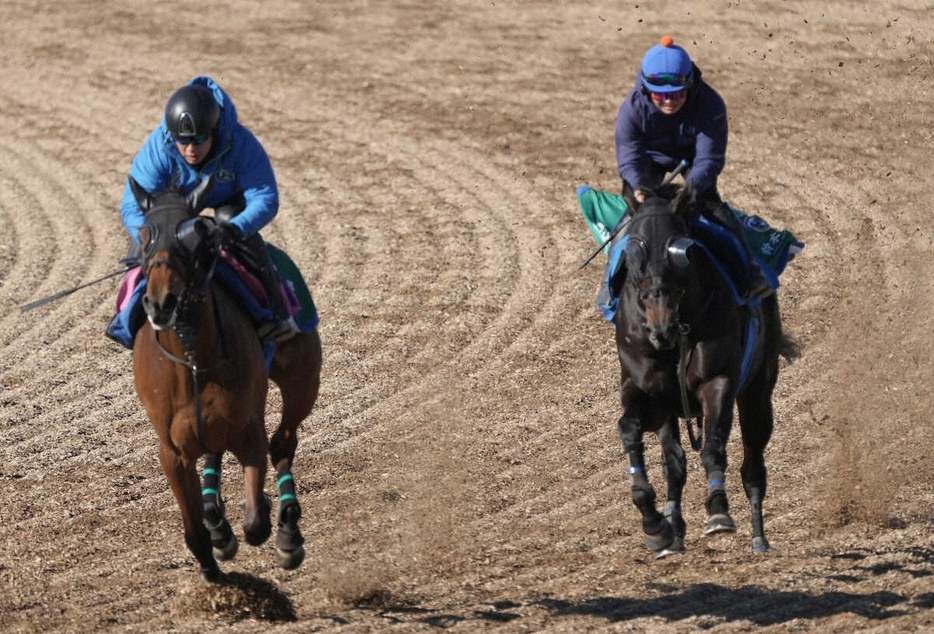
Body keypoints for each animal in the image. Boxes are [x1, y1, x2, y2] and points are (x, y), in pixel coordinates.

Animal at [130, 175, 324, 580]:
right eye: (144, 236)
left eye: (191, 238)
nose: (161, 302)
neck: (193, 363)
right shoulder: (172, 453)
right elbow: (194, 531)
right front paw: (214, 557)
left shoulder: (248, 431)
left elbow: (256, 523)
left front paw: (264, 522)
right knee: (217, 452)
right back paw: (218, 520)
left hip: (302, 381)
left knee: (283, 442)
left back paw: (288, 533)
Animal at [616, 181, 796, 552]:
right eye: (634, 253)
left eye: (678, 252)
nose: (659, 328)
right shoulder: (648, 393)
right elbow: (631, 431)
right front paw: (654, 523)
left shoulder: (718, 382)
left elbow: (713, 447)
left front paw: (718, 509)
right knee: (674, 462)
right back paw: (673, 528)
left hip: (758, 393)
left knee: (753, 467)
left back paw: (759, 537)